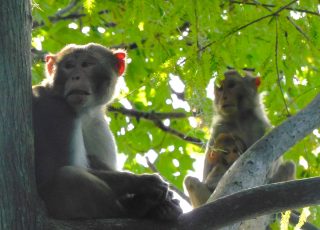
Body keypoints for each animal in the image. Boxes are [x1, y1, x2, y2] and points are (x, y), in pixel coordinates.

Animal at [34, 42, 182, 219]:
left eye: (86, 64)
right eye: (68, 66)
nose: (75, 77)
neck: (83, 112)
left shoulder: (97, 122)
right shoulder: (56, 110)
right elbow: (53, 170)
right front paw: (144, 183)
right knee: (68, 177)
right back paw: (137, 208)